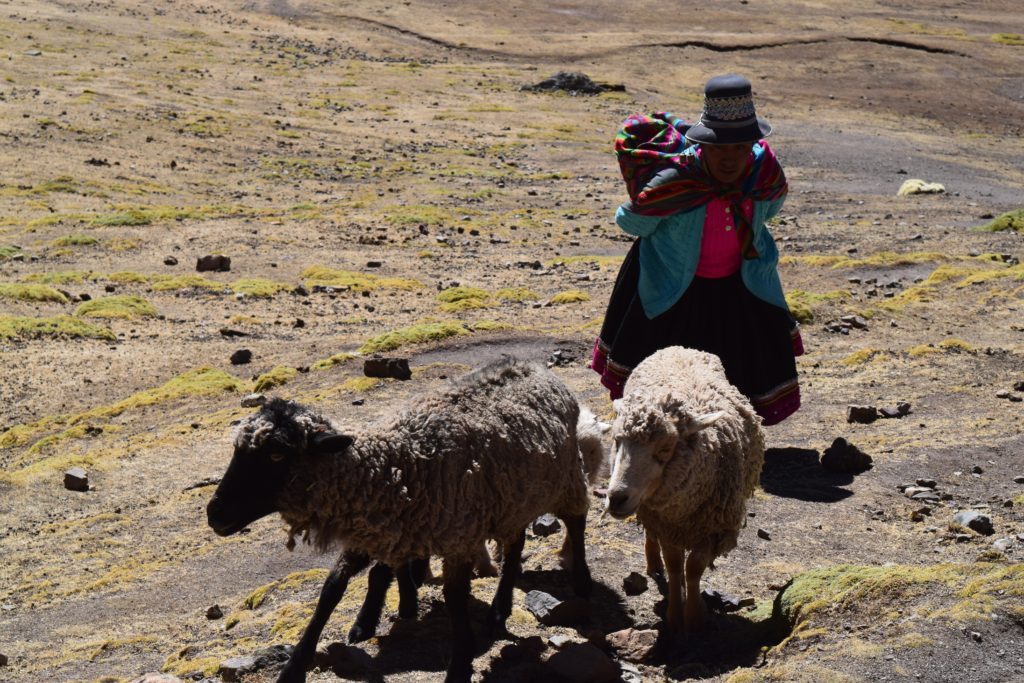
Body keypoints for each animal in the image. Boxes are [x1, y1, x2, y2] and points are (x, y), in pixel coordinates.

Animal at [207, 358, 593, 683]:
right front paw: (295, 666)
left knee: (576, 521)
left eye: (276, 455)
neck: (394, 468)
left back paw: (579, 582)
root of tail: (534, 366)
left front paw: (460, 663)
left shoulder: (458, 536)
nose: (215, 514)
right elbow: (331, 589)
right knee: (515, 545)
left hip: (567, 478)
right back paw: (499, 609)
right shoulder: (372, 532)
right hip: (516, 497)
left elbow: (454, 596)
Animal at [602, 348, 765, 634]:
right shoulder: (667, 524)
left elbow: (694, 570)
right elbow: (675, 565)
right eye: (616, 441)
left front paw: (693, 617)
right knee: (651, 536)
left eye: (665, 449)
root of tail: (678, 347)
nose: (616, 498)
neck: (682, 511)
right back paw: (653, 562)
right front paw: (675, 615)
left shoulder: (712, 530)